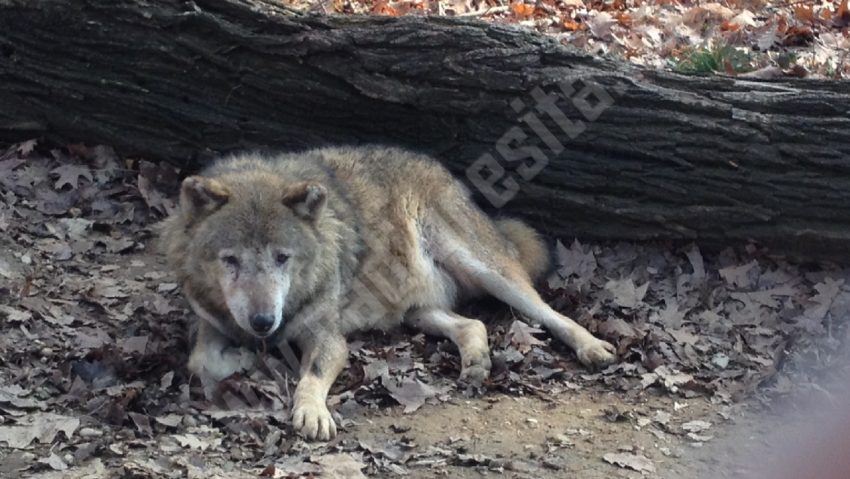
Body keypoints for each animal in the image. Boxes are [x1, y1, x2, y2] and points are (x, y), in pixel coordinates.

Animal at [157, 146, 608, 442]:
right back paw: (476, 363)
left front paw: (310, 412)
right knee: (472, 324)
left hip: (488, 271)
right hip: (416, 311)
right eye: (230, 260)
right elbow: (200, 362)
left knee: (551, 315)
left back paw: (593, 348)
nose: (264, 322)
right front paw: (243, 361)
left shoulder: (328, 337)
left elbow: (311, 377)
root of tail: (446, 174)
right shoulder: (210, 322)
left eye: (282, 258)